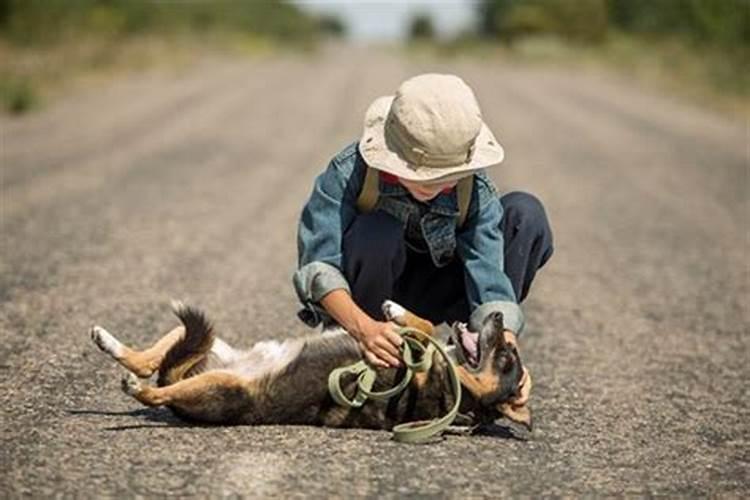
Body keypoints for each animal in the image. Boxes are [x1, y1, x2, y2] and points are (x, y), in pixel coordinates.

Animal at [89, 298, 536, 432]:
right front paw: (396, 309)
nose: (499, 315)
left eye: (505, 358)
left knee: (157, 389)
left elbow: (424, 330)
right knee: (152, 359)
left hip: (219, 386)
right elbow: (422, 325)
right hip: (212, 346)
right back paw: (107, 341)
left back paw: (140, 388)